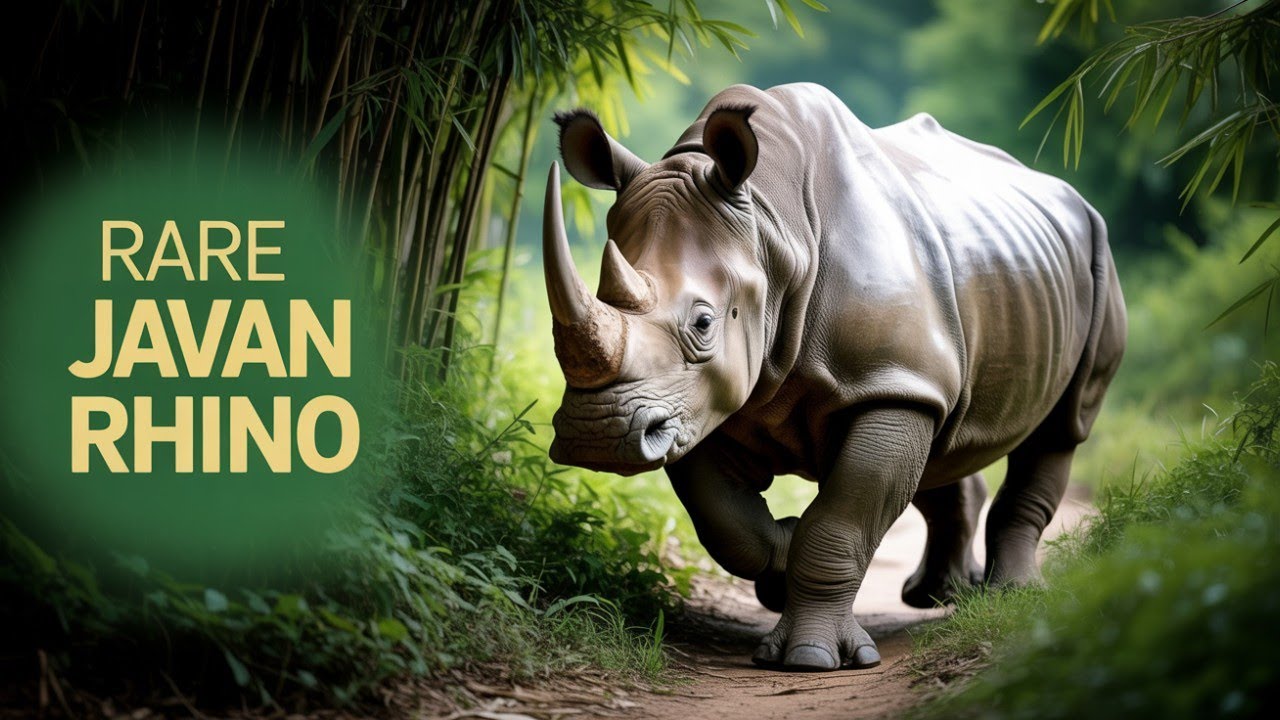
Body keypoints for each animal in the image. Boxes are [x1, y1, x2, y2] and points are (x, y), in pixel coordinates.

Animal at [542, 83, 1126, 671]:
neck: (773, 230)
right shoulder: (697, 404)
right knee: (946, 430)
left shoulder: (886, 386)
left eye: (704, 323)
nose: (596, 436)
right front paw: (779, 566)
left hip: (1096, 252)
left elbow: (840, 524)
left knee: (1062, 427)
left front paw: (811, 657)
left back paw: (1013, 595)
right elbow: (724, 523)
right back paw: (937, 595)